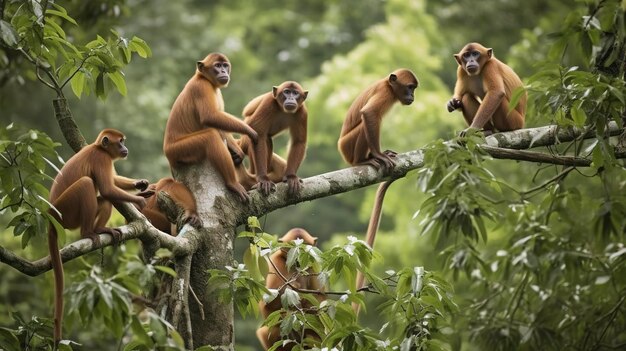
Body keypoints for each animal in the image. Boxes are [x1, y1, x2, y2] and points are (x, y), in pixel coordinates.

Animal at [47, 129, 150, 346]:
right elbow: (108, 188)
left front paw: (140, 184)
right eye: (120, 142)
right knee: (88, 184)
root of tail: (51, 217)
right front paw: (139, 199)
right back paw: (88, 232)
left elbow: (111, 186)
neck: (97, 148)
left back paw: (101, 229)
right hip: (66, 212)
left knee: (104, 199)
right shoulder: (101, 158)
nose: (125, 148)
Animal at [163, 51, 258, 201]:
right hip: (178, 150)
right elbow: (210, 117)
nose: (223, 71)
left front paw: (236, 150)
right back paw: (232, 184)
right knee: (210, 137)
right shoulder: (201, 87)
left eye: (225, 66)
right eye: (217, 66)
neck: (203, 78)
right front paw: (249, 131)